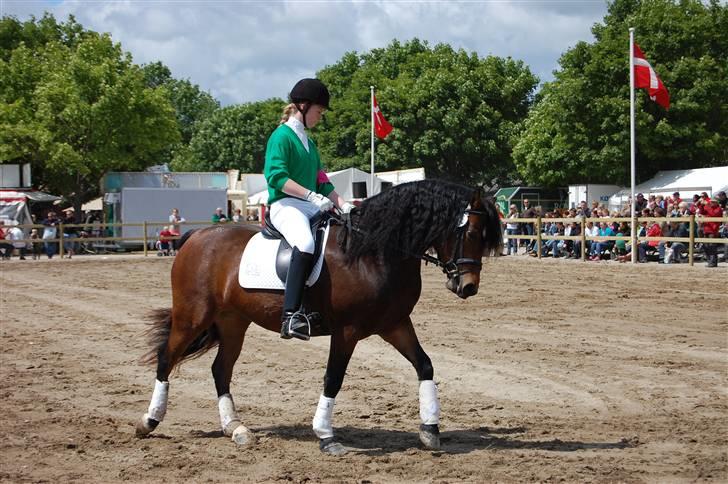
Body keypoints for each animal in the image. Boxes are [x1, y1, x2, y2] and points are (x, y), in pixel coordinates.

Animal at [135, 178, 500, 454]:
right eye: (470, 234)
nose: (468, 287)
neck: (374, 252)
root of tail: (196, 236)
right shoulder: (348, 331)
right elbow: (333, 379)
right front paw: (326, 436)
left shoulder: (394, 324)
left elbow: (424, 365)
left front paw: (430, 429)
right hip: (193, 316)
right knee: (167, 359)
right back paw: (148, 421)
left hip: (233, 322)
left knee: (220, 370)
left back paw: (236, 429)